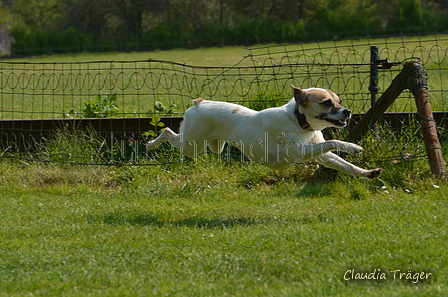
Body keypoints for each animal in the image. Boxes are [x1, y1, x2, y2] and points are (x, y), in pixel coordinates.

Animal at [147, 84, 382, 178]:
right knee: (167, 131)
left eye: (339, 101)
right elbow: (332, 142)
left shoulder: (323, 156)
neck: (299, 122)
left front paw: (368, 173)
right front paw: (352, 146)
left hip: (214, 146)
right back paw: (151, 144)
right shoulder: (301, 152)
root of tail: (200, 102)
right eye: (326, 103)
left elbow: (346, 166)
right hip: (191, 145)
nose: (347, 111)